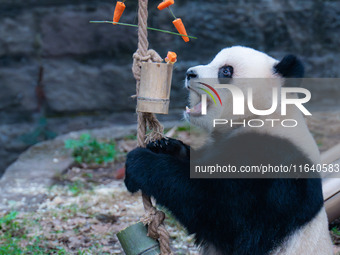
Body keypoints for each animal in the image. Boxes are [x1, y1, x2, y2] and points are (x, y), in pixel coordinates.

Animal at [123, 46, 334, 255]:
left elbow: (226, 213)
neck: (261, 116)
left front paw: (139, 163)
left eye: (226, 71)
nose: (190, 73)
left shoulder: (274, 167)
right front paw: (163, 146)